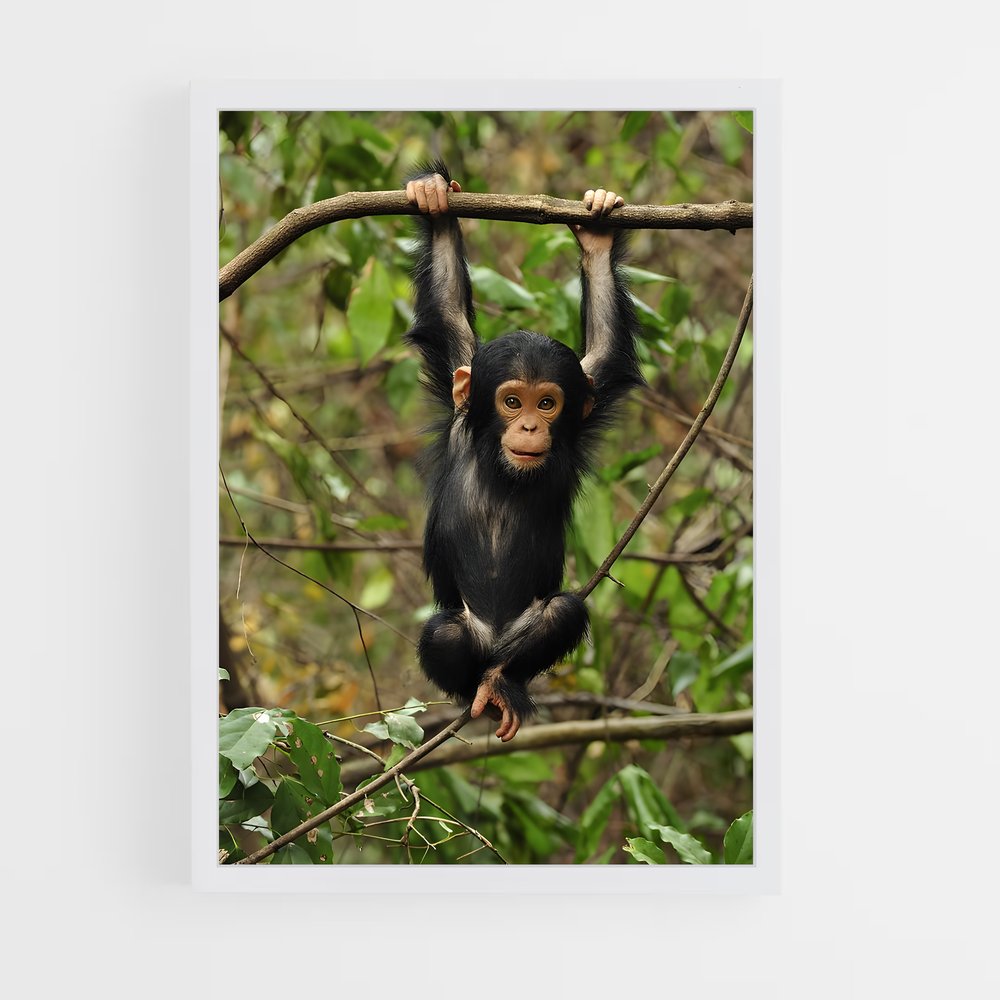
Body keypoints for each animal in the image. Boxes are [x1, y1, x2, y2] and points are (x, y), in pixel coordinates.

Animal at [403, 161, 643, 741]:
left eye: (548, 403)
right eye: (512, 401)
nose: (531, 424)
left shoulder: (583, 400)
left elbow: (606, 347)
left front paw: (598, 236)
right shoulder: (460, 388)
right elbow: (446, 311)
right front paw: (434, 201)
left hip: (523, 639)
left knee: (562, 615)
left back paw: (502, 684)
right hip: (466, 637)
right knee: (445, 635)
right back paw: (479, 692)